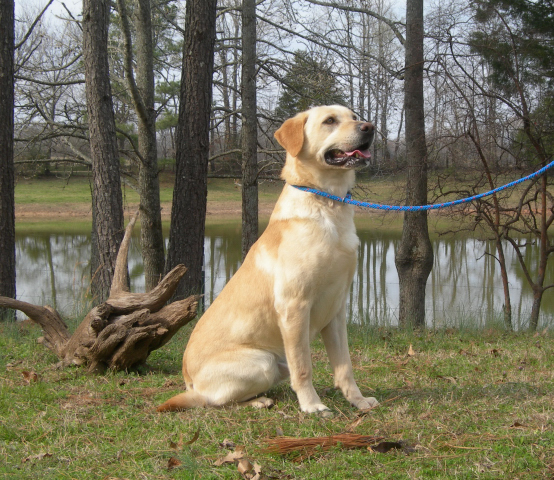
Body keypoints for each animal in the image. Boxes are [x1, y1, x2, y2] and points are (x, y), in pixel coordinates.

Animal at [157, 105, 378, 412]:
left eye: (354, 116)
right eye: (330, 121)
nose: (369, 127)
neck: (328, 202)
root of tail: (189, 382)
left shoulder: (336, 309)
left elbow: (345, 366)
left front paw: (358, 401)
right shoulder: (294, 306)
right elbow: (304, 367)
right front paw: (312, 406)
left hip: (275, 365)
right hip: (263, 362)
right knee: (216, 401)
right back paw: (259, 401)